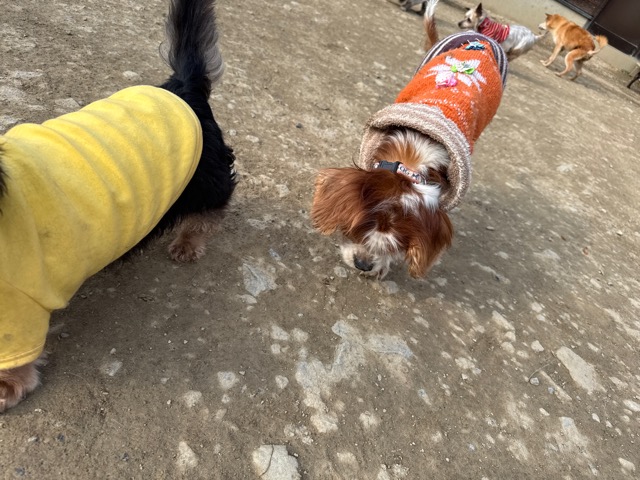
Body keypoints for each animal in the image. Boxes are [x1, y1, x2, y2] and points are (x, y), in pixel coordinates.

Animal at [0, 0, 236, 412]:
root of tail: (182, 88)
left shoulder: (19, 308)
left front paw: (8, 386)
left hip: (207, 177)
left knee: (214, 206)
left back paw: (189, 242)